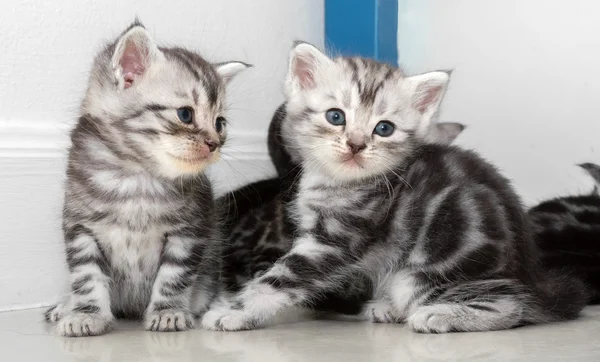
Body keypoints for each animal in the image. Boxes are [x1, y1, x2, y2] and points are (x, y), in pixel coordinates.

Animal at [43, 20, 247, 336]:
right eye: (185, 114)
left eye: (220, 123)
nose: (214, 144)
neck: (137, 176)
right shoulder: (81, 227)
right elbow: (87, 278)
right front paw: (86, 315)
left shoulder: (189, 231)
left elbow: (173, 277)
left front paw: (168, 312)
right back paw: (66, 306)